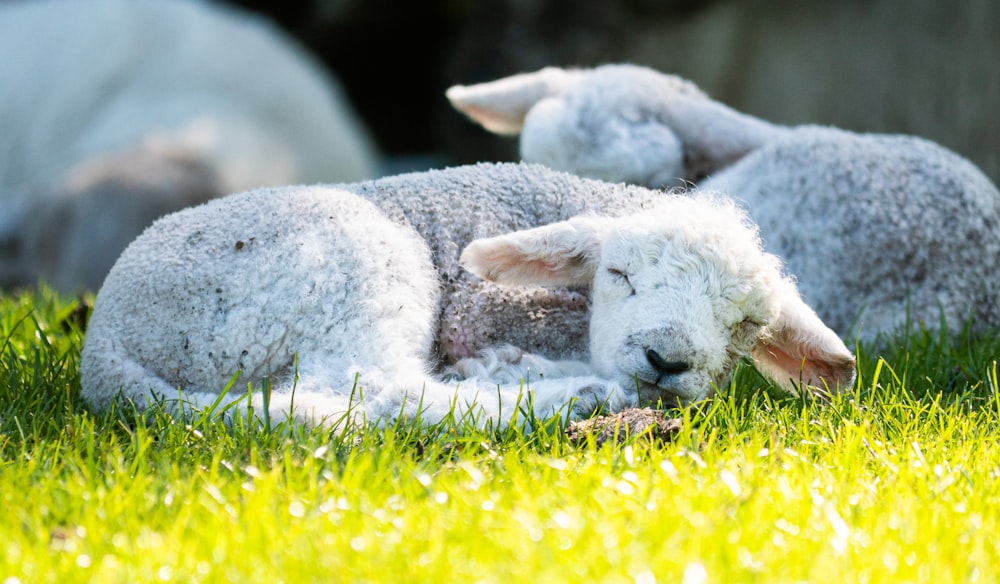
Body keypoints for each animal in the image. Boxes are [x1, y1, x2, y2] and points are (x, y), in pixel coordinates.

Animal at [82, 162, 856, 426]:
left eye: (747, 323)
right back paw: (567, 398)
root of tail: (103, 352)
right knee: (369, 395)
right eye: (620, 275)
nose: (667, 361)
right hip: (343, 265)